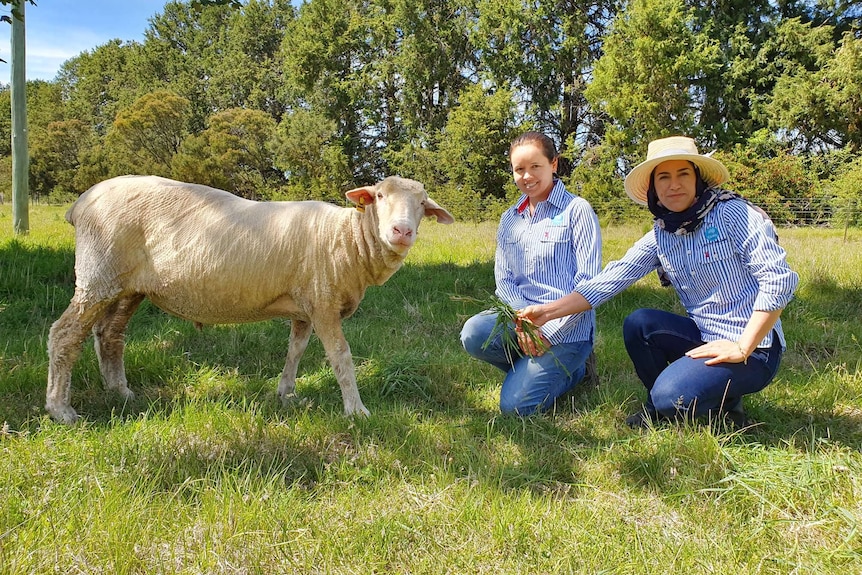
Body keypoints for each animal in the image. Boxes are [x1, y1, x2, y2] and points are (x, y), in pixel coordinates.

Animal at [45, 176, 460, 424]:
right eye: (379, 196)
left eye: (422, 204)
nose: (402, 231)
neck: (347, 238)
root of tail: (82, 202)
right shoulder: (324, 303)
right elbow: (341, 358)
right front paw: (356, 410)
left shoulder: (306, 306)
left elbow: (296, 349)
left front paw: (287, 393)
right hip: (97, 274)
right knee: (64, 335)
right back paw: (61, 409)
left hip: (127, 285)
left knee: (110, 335)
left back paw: (120, 392)